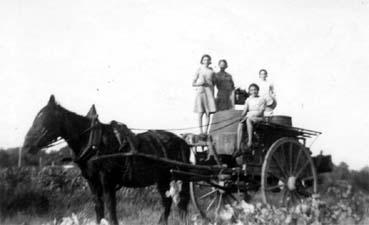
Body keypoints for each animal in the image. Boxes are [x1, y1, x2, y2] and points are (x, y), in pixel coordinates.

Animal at [22, 95, 190, 225]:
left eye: (45, 119)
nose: (26, 146)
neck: (92, 142)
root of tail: (183, 141)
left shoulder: (107, 179)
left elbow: (110, 206)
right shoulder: (91, 180)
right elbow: (98, 206)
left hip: (179, 175)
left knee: (181, 202)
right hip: (163, 178)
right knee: (167, 202)